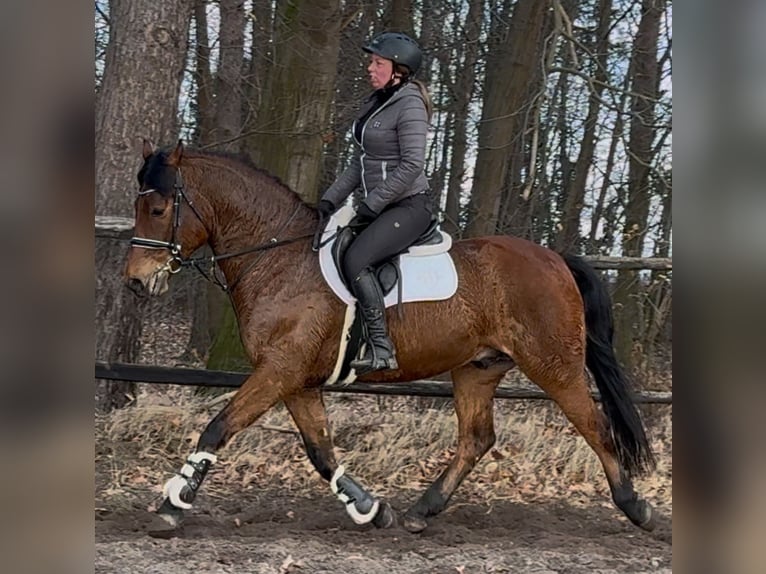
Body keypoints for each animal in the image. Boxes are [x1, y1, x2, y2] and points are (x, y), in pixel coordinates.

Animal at [123, 142, 656, 536]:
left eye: (158, 208)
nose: (135, 282)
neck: (278, 257)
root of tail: (556, 259)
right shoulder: (296, 382)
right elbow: (321, 453)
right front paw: (372, 509)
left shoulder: (278, 371)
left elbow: (219, 427)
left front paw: (174, 503)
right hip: (477, 368)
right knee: (476, 438)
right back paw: (423, 511)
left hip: (555, 366)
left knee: (595, 426)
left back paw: (635, 507)